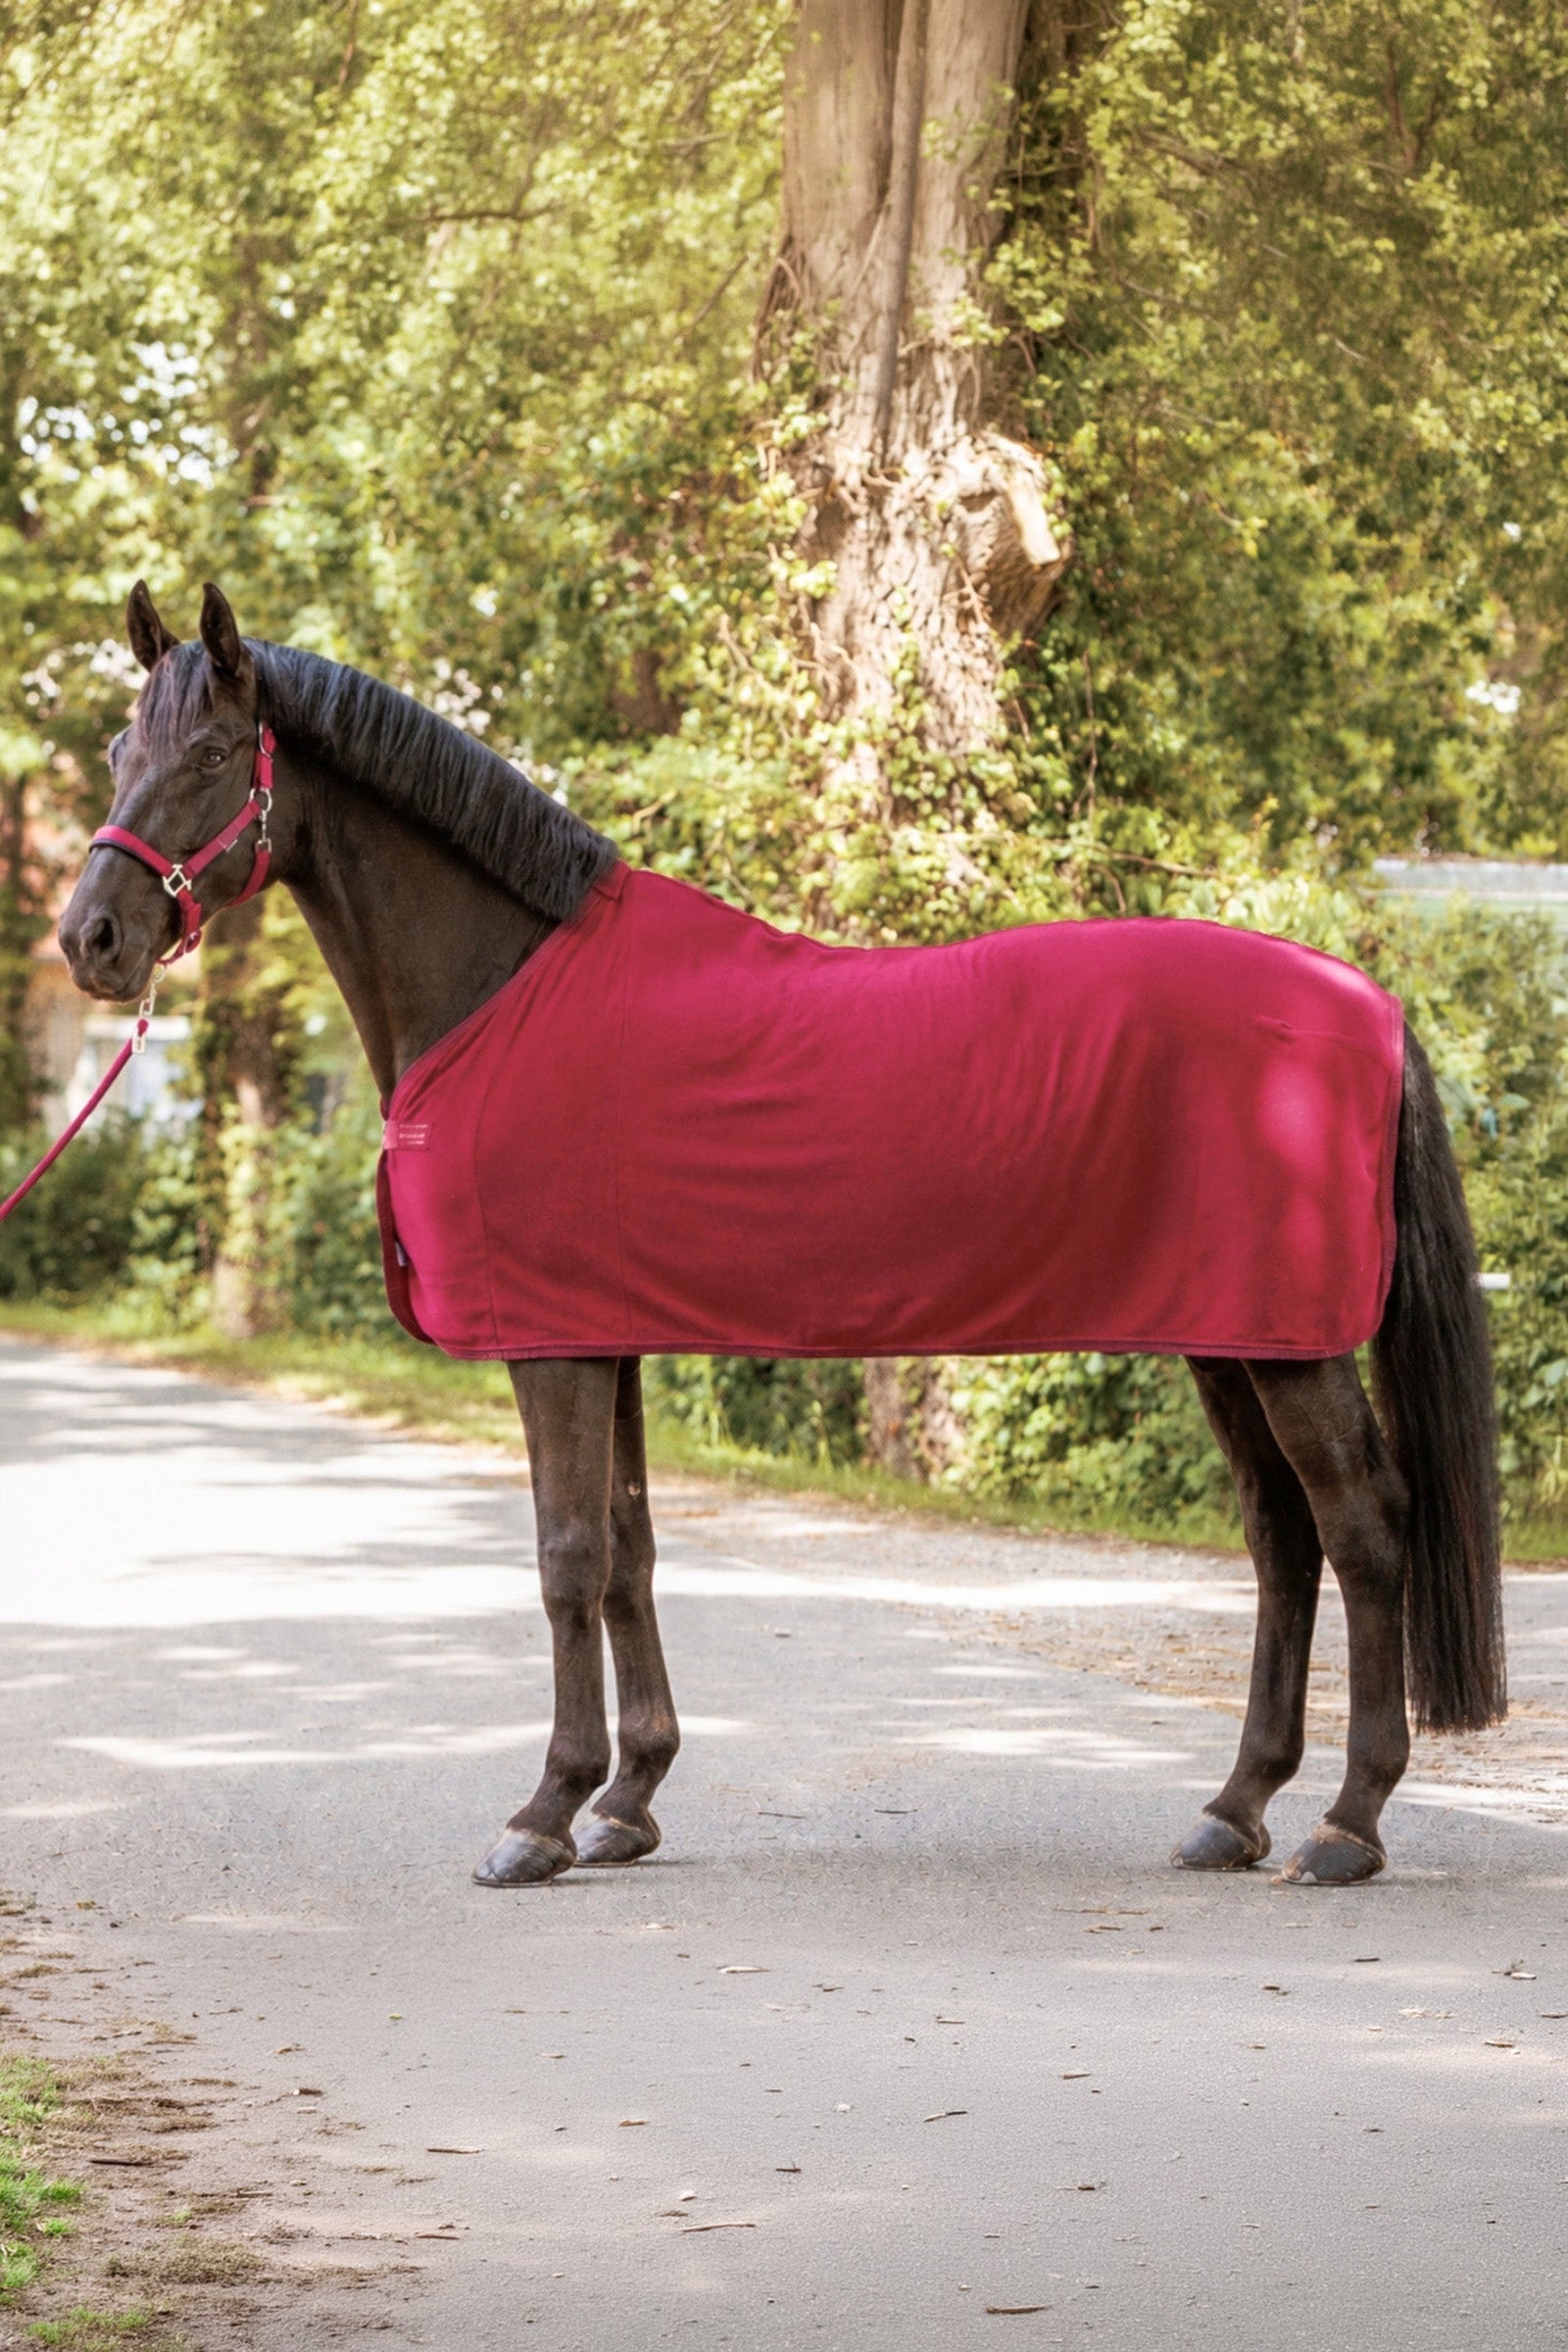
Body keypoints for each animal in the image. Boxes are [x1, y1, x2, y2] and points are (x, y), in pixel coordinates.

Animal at [56, 580, 1506, 1892]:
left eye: (206, 757)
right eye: (121, 753)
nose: (93, 941)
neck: (505, 984)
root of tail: (1366, 1001)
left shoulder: (553, 1346)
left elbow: (565, 1560)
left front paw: (543, 1814)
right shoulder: (605, 1332)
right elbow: (629, 1553)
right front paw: (629, 1800)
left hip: (1290, 1346)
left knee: (1364, 1529)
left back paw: (1347, 1825)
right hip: (1226, 1334)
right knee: (1282, 1538)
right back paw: (1235, 1807)